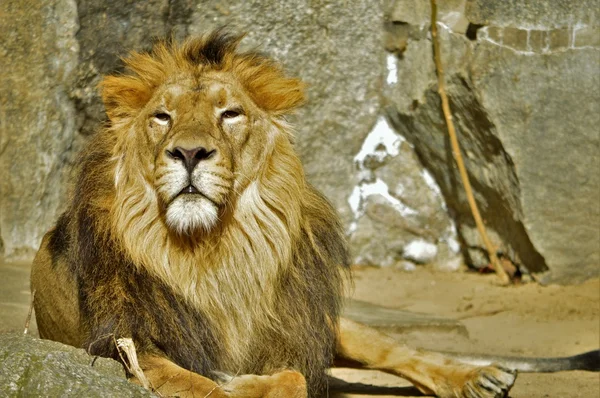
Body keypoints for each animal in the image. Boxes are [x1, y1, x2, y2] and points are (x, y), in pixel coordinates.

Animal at [29, 31, 528, 398]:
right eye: (162, 116)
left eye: (230, 114)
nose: (189, 152)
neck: (211, 249)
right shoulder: (126, 346)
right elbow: (207, 386)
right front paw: (232, 384)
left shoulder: (289, 329)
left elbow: (294, 377)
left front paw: (247, 382)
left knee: (390, 347)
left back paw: (478, 376)